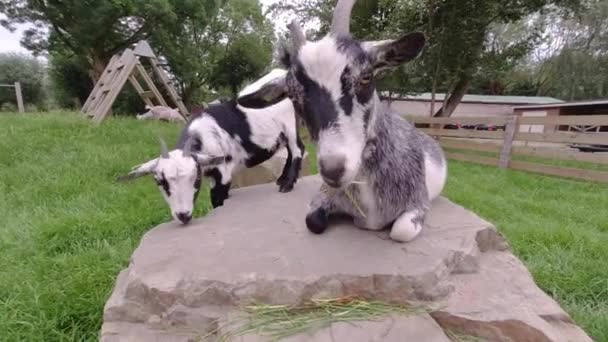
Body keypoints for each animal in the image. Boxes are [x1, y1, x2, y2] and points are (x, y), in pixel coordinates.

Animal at [119, 69, 304, 224]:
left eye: (195, 179)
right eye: (160, 182)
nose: (183, 216)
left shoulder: (223, 172)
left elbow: (217, 199)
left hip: (290, 125)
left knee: (298, 150)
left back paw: (287, 185)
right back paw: (282, 180)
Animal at [236, 0, 446, 242]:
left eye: (366, 77)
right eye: (293, 95)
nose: (334, 170)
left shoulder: (418, 202)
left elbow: (401, 231)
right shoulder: (325, 195)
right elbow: (312, 221)